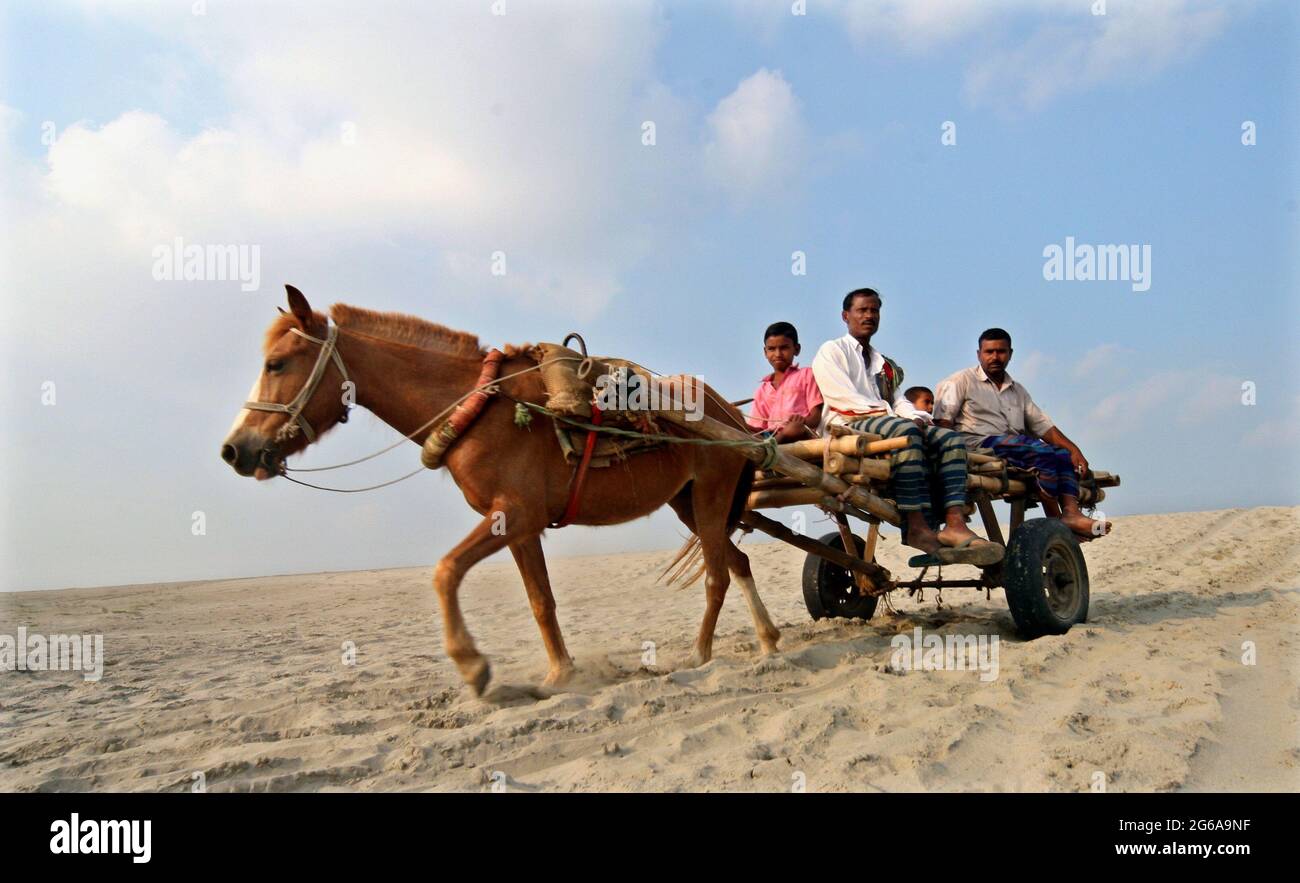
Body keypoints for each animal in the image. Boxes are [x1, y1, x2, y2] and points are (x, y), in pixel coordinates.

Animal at [220, 284, 780, 697]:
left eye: (277, 363)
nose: (235, 450)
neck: (479, 407)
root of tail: (732, 418)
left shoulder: (514, 516)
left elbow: (447, 573)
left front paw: (475, 667)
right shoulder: (521, 527)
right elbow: (540, 601)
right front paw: (559, 673)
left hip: (709, 495)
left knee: (717, 576)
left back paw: (701, 655)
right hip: (687, 502)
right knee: (735, 563)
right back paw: (768, 642)